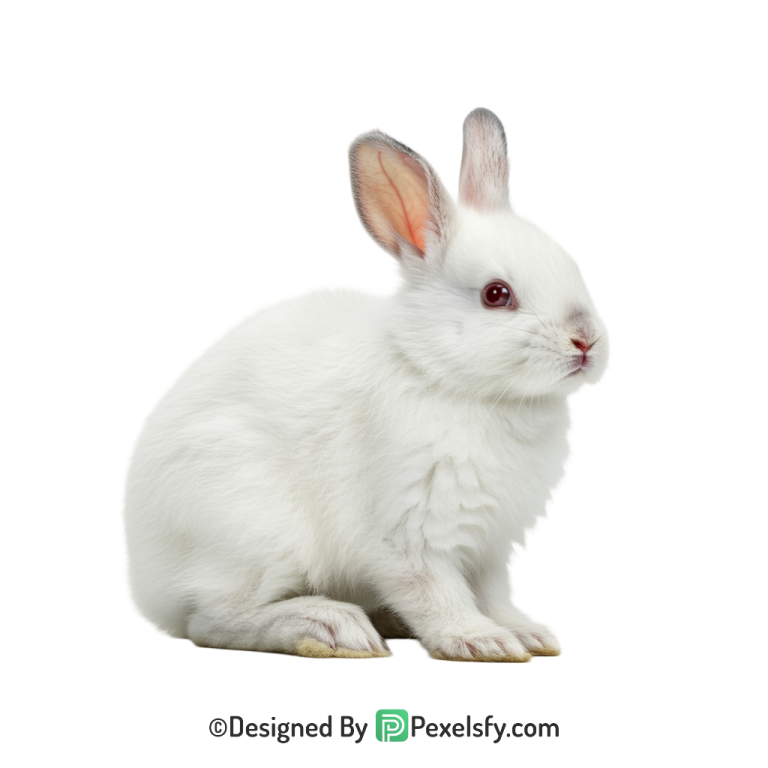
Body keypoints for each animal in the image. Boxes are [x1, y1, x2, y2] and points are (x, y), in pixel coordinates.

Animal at [120, 106, 611, 662]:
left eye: (571, 265)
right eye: (496, 294)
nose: (586, 341)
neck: (451, 380)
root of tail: (144, 582)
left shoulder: (494, 549)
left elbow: (495, 596)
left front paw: (528, 634)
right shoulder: (410, 537)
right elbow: (437, 594)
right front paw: (480, 641)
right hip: (254, 533)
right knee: (213, 619)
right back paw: (331, 628)